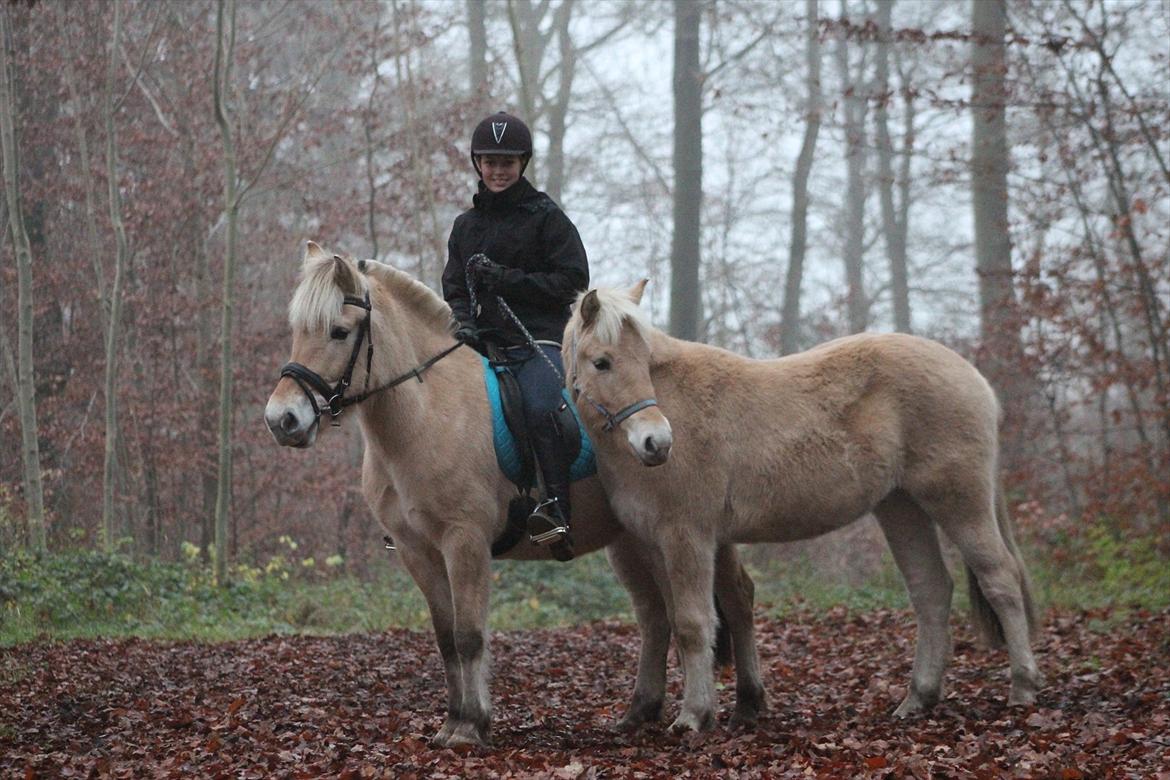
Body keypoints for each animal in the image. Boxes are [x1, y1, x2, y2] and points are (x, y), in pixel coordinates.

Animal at [263, 245, 767, 748]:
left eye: (339, 331)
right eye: (299, 330)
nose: (282, 419)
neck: (429, 413)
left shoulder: (464, 540)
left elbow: (469, 634)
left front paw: (470, 725)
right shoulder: (417, 551)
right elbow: (446, 637)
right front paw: (452, 721)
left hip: (691, 533)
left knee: (734, 599)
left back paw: (746, 704)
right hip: (636, 539)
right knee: (657, 614)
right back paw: (642, 712)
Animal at [566, 284, 1043, 734]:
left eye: (645, 361)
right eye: (602, 362)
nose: (656, 443)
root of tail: (974, 377)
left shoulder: (688, 538)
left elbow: (692, 624)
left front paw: (694, 716)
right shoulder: (653, 544)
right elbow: (670, 622)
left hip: (960, 502)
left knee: (1001, 579)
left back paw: (1023, 687)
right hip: (901, 508)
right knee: (931, 591)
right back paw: (918, 699)